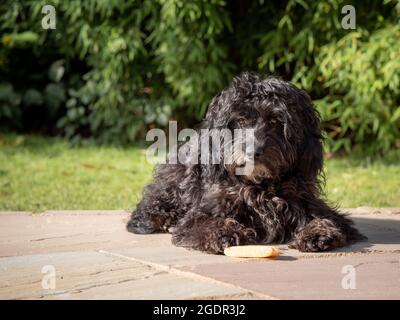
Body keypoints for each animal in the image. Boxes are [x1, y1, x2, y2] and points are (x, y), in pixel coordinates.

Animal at [126, 72, 366, 252]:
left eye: (276, 121)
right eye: (241, 120)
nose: (253, 151)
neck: (260, 186)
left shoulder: (308, 202)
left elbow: (328, 219)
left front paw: (319, 232)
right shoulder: (204, 212)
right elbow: (205, 223)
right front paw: (224, 233)